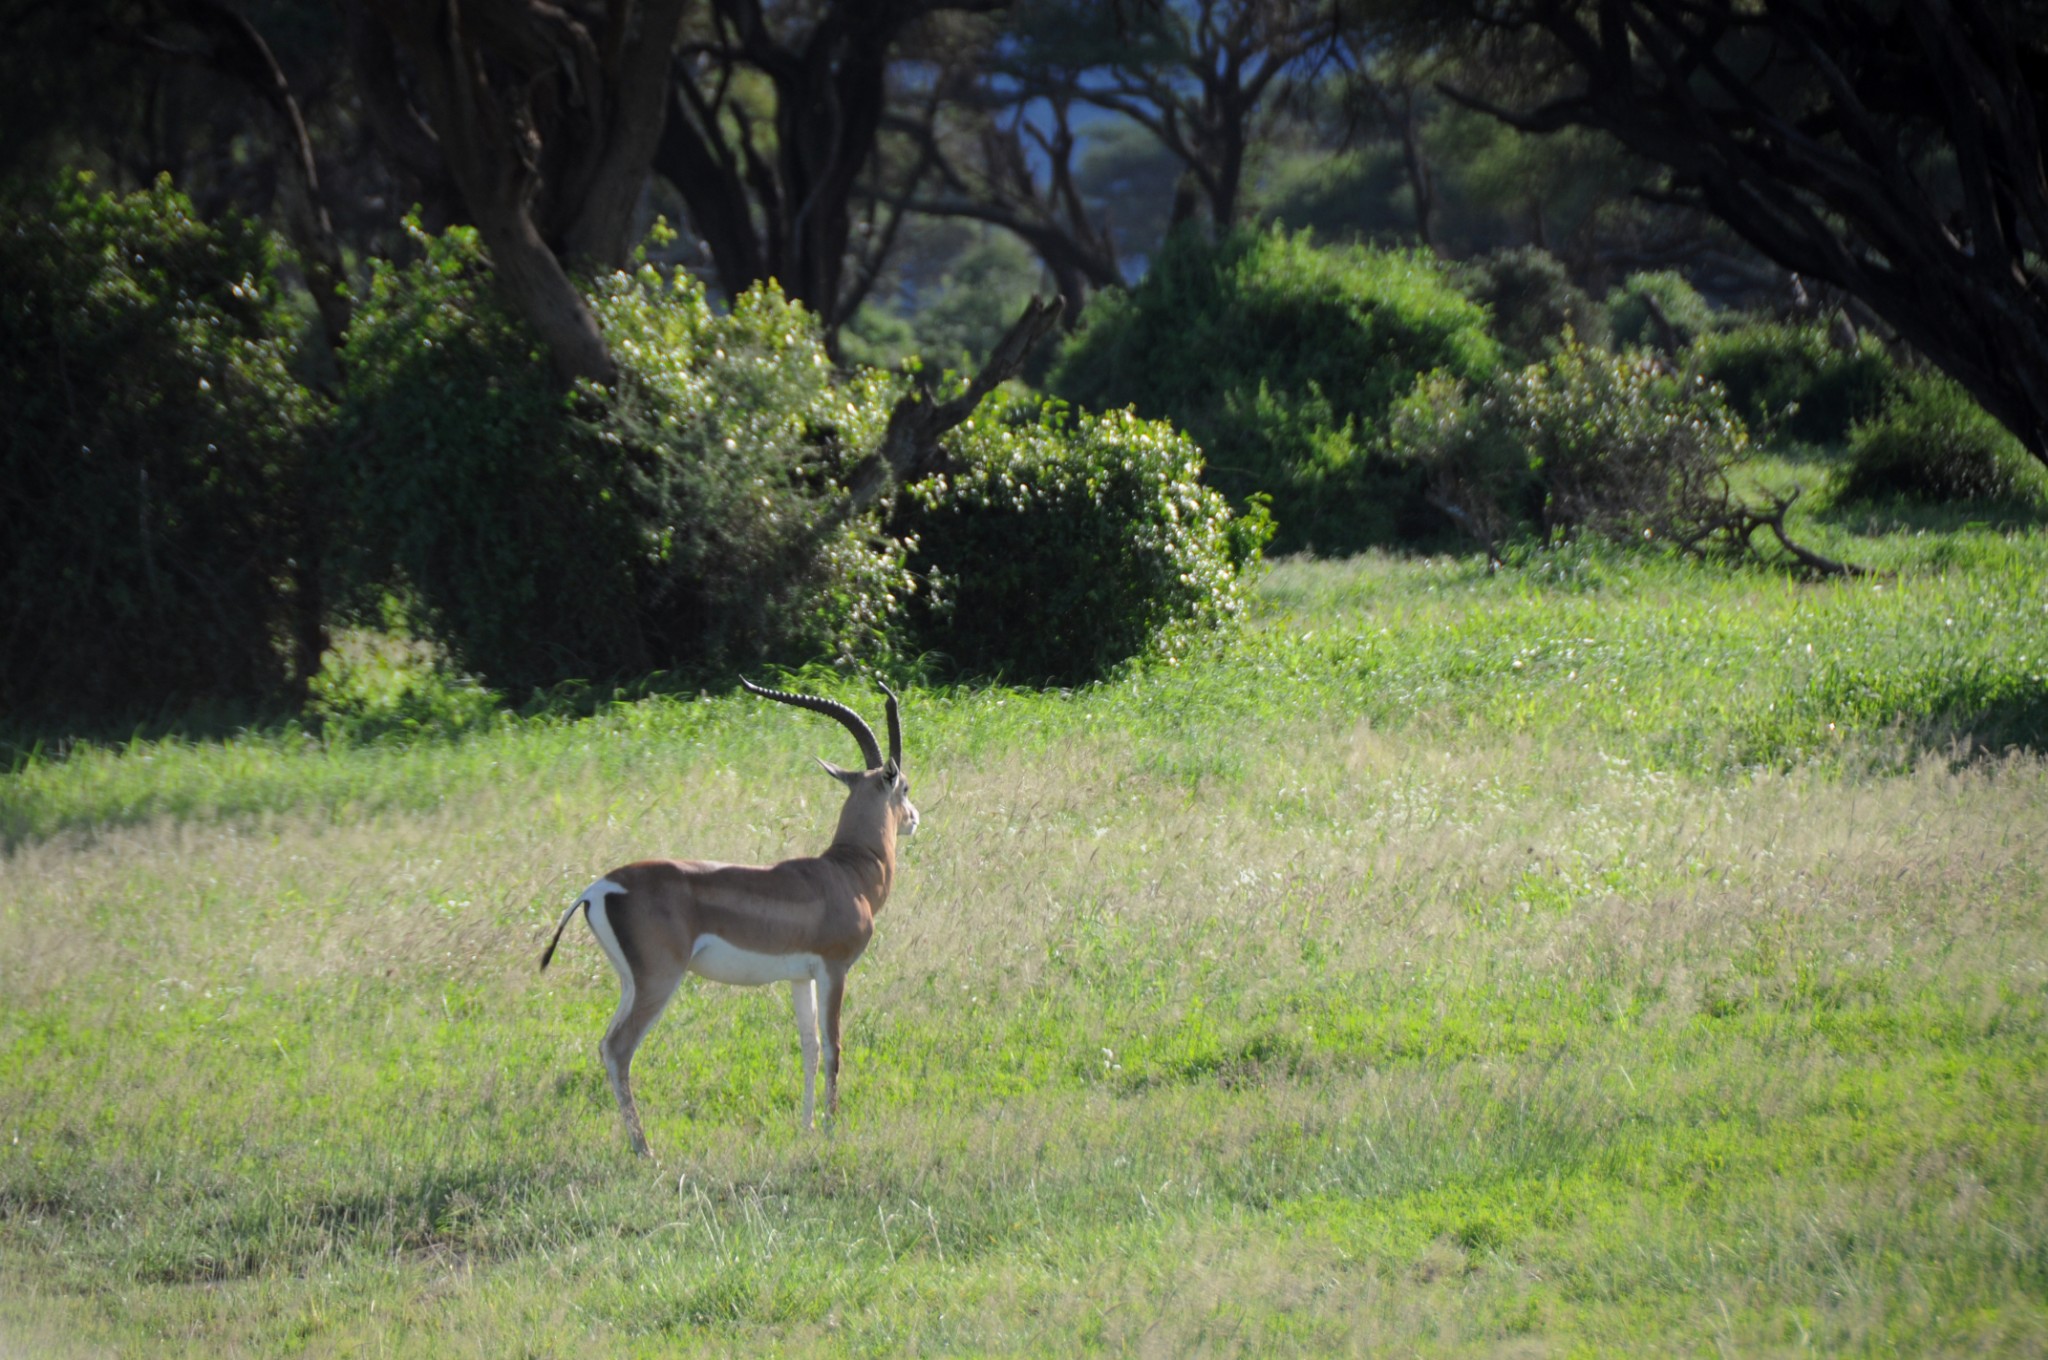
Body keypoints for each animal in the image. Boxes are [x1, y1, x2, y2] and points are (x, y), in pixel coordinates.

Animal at [548, 680, 925, 1155]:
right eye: (904, 787)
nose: (914, 819)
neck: (848, 873)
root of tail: (599, 888)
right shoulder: (834, 969)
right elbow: (835, 1047)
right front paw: (832, 1130)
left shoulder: (800, 976)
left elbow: (809, 1047)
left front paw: (807, 1128)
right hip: (660, 981)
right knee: (618, 1049)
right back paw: (645, 1150)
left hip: (631, 984)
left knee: (604, 1045)